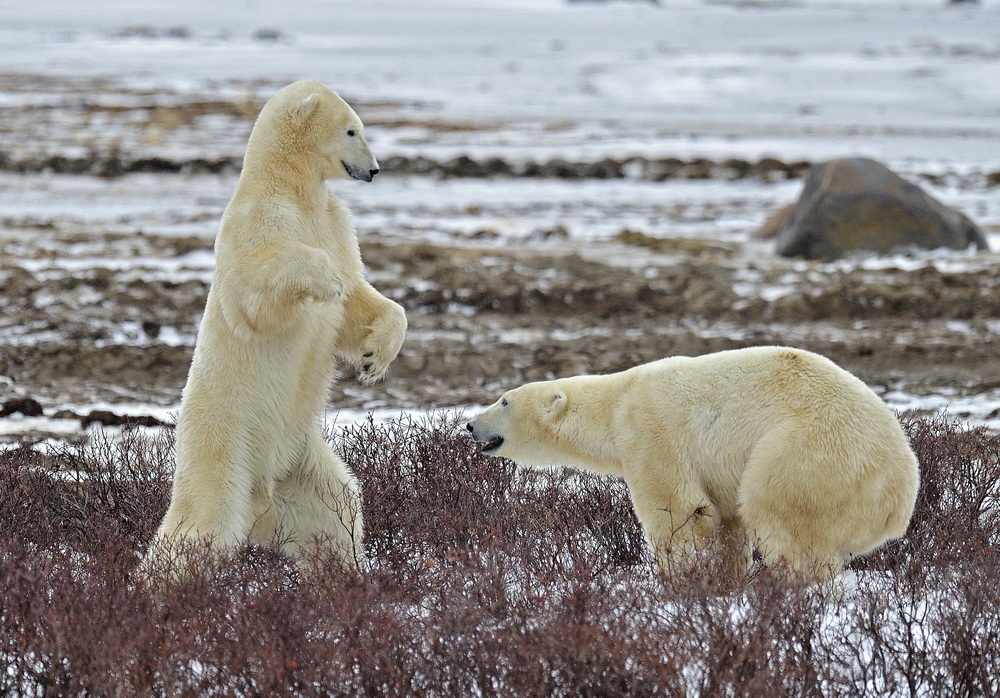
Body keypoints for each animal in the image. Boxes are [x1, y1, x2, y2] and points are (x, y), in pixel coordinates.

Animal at [142, 79, 406, 580]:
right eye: (351, 130)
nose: (375, 170)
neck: (292, 187)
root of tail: (260, 497)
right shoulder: (260, 219)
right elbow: (253, 294)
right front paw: (324, 278)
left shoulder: (336, 223)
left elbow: (355, 303)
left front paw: (373, 357)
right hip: (225, 441)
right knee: (204, 522)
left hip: (299, 462)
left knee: (337, 509)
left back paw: (342, 575)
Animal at [468, 346, 920, 580]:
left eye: (504, 401)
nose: (470, 424)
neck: (616, 404)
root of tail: (899, 490)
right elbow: (727, 522)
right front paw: (725, 583)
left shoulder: (650, 431)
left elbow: (679, 512)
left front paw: (675, 585)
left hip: (806, 455)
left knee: (784, 526)